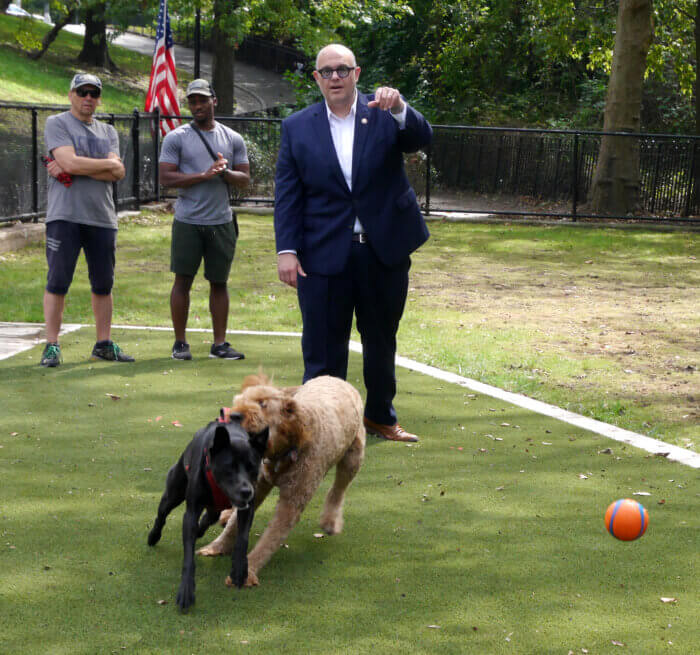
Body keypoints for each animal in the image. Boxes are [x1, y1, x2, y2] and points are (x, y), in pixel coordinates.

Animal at [148, 408, 268, 612]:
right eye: (229, 467)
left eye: (252, 467)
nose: (246, 491)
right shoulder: (191, 512)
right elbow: (189, 557)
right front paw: (186, 590)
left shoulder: (247, 508)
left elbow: (242, 539)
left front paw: (239, 569)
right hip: (173, 493)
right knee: (162, 515)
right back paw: (153, 536)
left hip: (214, 508)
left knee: (208, 518)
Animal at [194, 374, 364, 588]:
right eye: (240, 400)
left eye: (263, 404)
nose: (233, 415)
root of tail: (337, 378)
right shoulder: (257, 484)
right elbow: (234, 525)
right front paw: (217, 546)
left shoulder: (292, 502)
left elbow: (269, 539)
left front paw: (248, 570)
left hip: (353, 458)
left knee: (338, 489)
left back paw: (330, 521)